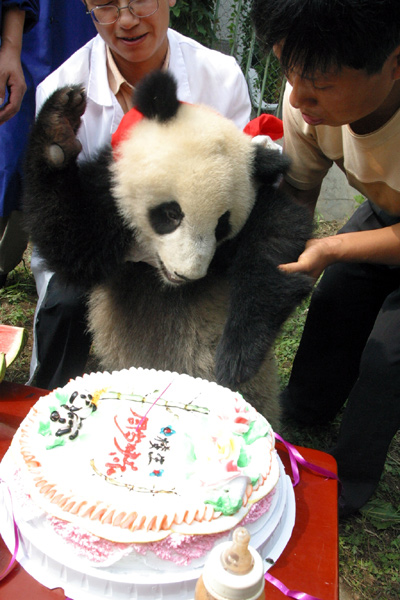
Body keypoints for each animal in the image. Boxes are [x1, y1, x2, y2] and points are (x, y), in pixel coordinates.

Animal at [23, 70, 314, 428]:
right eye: (171, 213)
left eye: (221, 226)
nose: (187, 274)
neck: (160, 277)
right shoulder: (108, 202)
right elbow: (69, 241)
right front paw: (58, 129)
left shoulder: (257, 206)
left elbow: (278, 241)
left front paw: (238, 355)